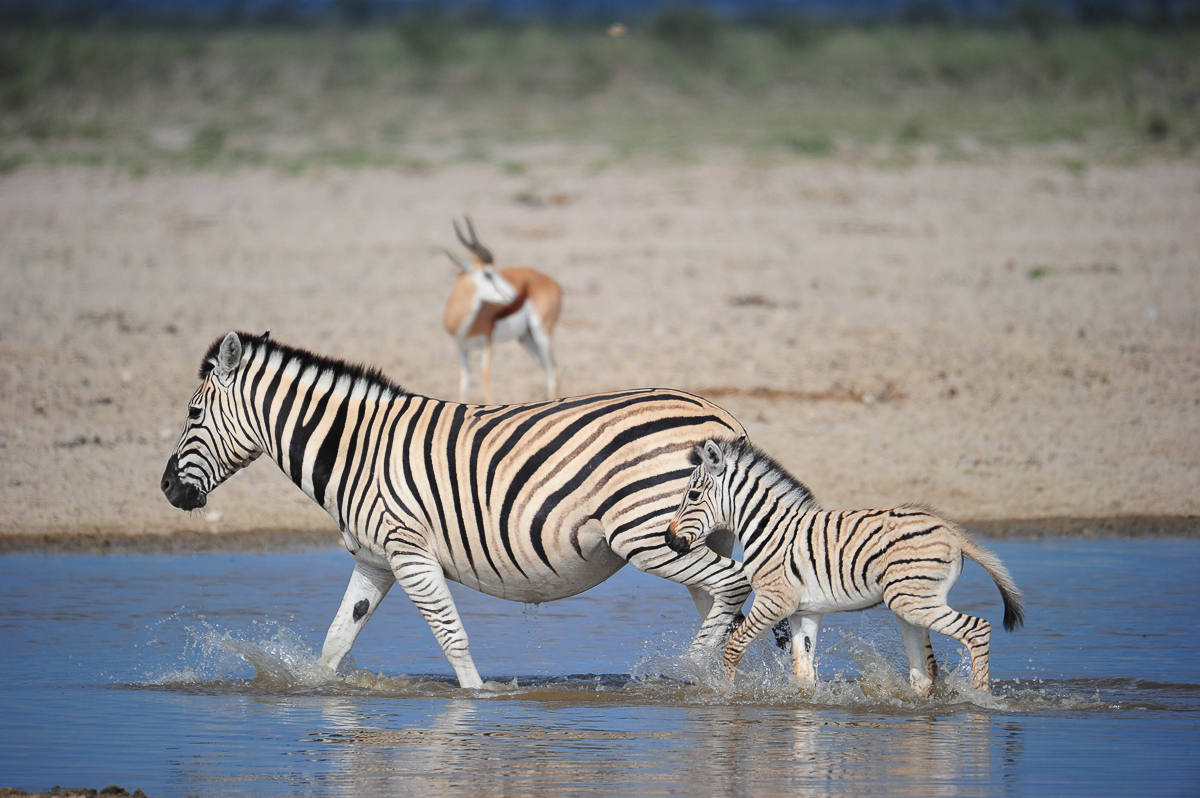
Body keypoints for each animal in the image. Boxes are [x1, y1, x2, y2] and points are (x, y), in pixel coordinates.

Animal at [160, 330, 754, 688]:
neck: (354, 449)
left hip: (650, 536)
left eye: (192, 413)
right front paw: (320, 693)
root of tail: (722, 417)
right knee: (722, 603)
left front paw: (477, 700)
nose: (166, 488)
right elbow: (336, 639)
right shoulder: (374, 560)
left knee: (733, 585)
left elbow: (451, 636)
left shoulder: (408, 551)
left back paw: (690, 669)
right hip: (698, 535)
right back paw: (718, 684)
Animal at [664, 437, 1025, 696]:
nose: (669, 540)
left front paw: (725, 695)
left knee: (977, 629)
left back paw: (980, 699)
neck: (769, 528)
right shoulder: (804, 611)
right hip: (910, 605)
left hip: (914, 601)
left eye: (692, 495)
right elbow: (803, 671)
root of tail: (949, 529)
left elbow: (734, 646)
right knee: (924, 671)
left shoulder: (773, 601)